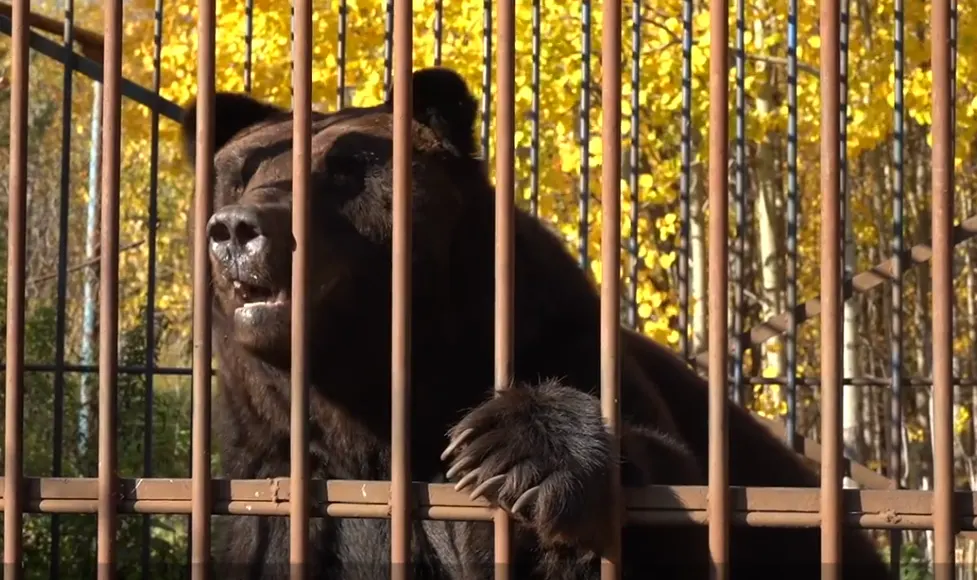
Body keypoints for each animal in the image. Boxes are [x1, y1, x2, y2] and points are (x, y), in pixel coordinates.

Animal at [177, 65, 889, 579]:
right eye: (239, 173)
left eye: (346, 169)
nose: (239, 229)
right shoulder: (271, 476)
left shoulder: (552, 333)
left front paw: (517, 452)